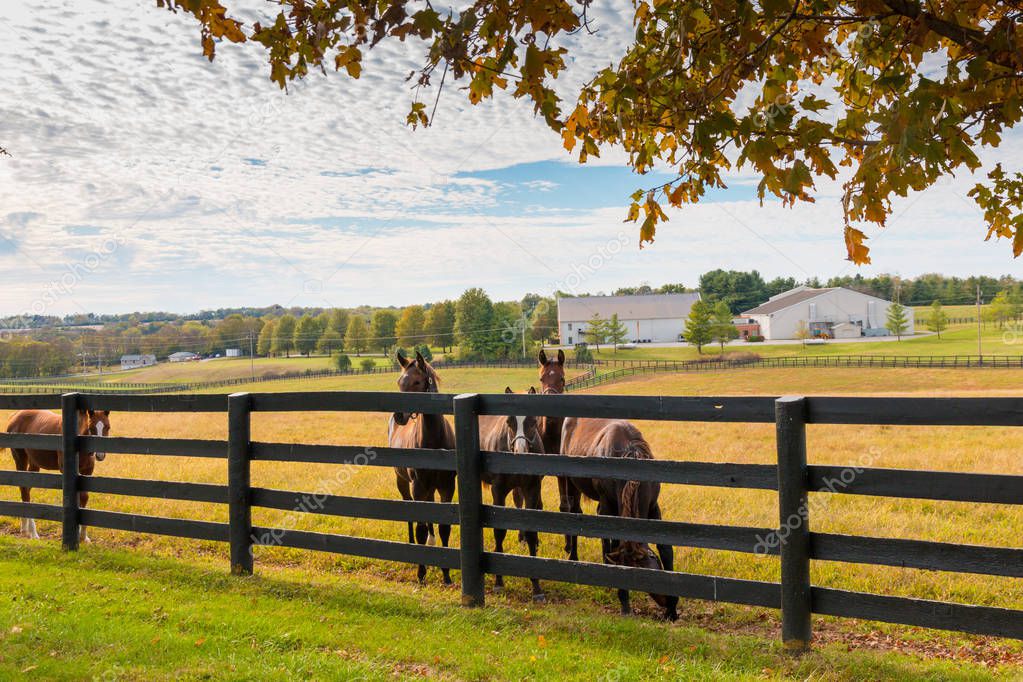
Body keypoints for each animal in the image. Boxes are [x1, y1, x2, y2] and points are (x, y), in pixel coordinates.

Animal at [4, 404, 110, 543]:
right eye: (91, 427)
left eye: (107, 427)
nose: (100, 455)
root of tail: (15, 415)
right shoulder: (65, 469)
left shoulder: (87, 471)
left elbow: (84, 497)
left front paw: (84, 537)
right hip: (20, 458)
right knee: (24, 491)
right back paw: (33, 533)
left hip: (34, 464)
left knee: (26, 489)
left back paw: (24, 529)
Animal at [388, 355, 458, 584]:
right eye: (399, 382)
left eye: (417, 382)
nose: (399, 415)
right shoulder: (417, 487)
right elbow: (419, 527)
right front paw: (421, 573)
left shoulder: (446, 486)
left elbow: (444, 527)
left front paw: (446, 573)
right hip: (403, 482)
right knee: (411, 513)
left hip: (430, 488)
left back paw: (431, 542)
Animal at [476, 386, 544, 601]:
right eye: (508, 421)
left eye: (533, 421)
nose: (520, 451)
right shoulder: (498, 490)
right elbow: (499, 531)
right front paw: (498, 582)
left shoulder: (532, 489)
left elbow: (531, 530)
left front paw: (536, 587)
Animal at [560, 419, 679, 621]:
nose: (664, 601)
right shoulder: (610, 506)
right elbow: (614, 543)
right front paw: (624, 602)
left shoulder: (653, 507)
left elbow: (665, 548)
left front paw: (672, 610)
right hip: (571, 483)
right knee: (574, 512)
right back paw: (573, 556)